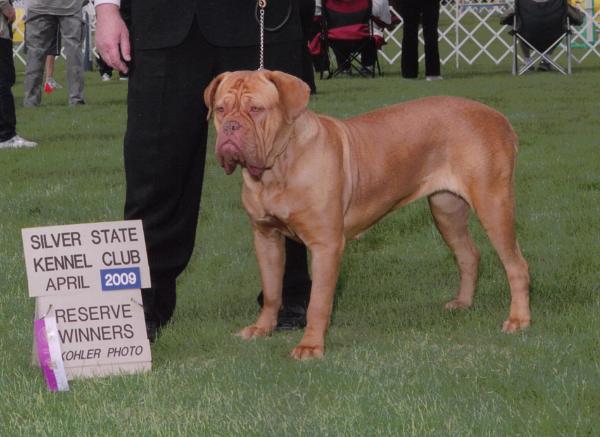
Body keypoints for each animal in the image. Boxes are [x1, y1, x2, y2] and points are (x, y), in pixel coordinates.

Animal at [205, 70, 528, 360]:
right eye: (220, 109)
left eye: (256, 109)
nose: (231, 127)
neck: (277, 168)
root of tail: (499, 117)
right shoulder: (265, 237)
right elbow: (272, 290)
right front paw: (262, 329)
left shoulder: (326, 245)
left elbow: (318, 302)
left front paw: (310, 346)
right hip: (446, 209)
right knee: (468, 254)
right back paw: (463, 302)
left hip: (493, 203)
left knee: (516, 265)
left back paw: (519, 320)